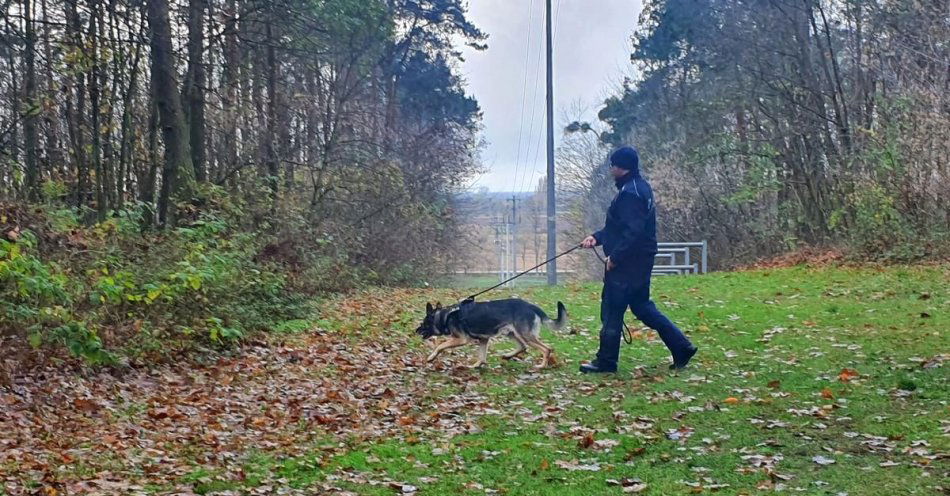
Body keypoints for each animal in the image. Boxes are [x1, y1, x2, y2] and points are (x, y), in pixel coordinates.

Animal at [414, 298, 564, 368]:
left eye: (424, 323)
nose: (416, 330)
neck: (445, 316)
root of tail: (531, 306)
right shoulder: (483, 340)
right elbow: (481, 356)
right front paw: (476, 366)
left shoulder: (461, 339)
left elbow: (440, 346)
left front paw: (431, 357)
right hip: (511, 333)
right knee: (523, 346)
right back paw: (507, 356)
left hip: (525, 335)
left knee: (546, 349)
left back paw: (542, 366)